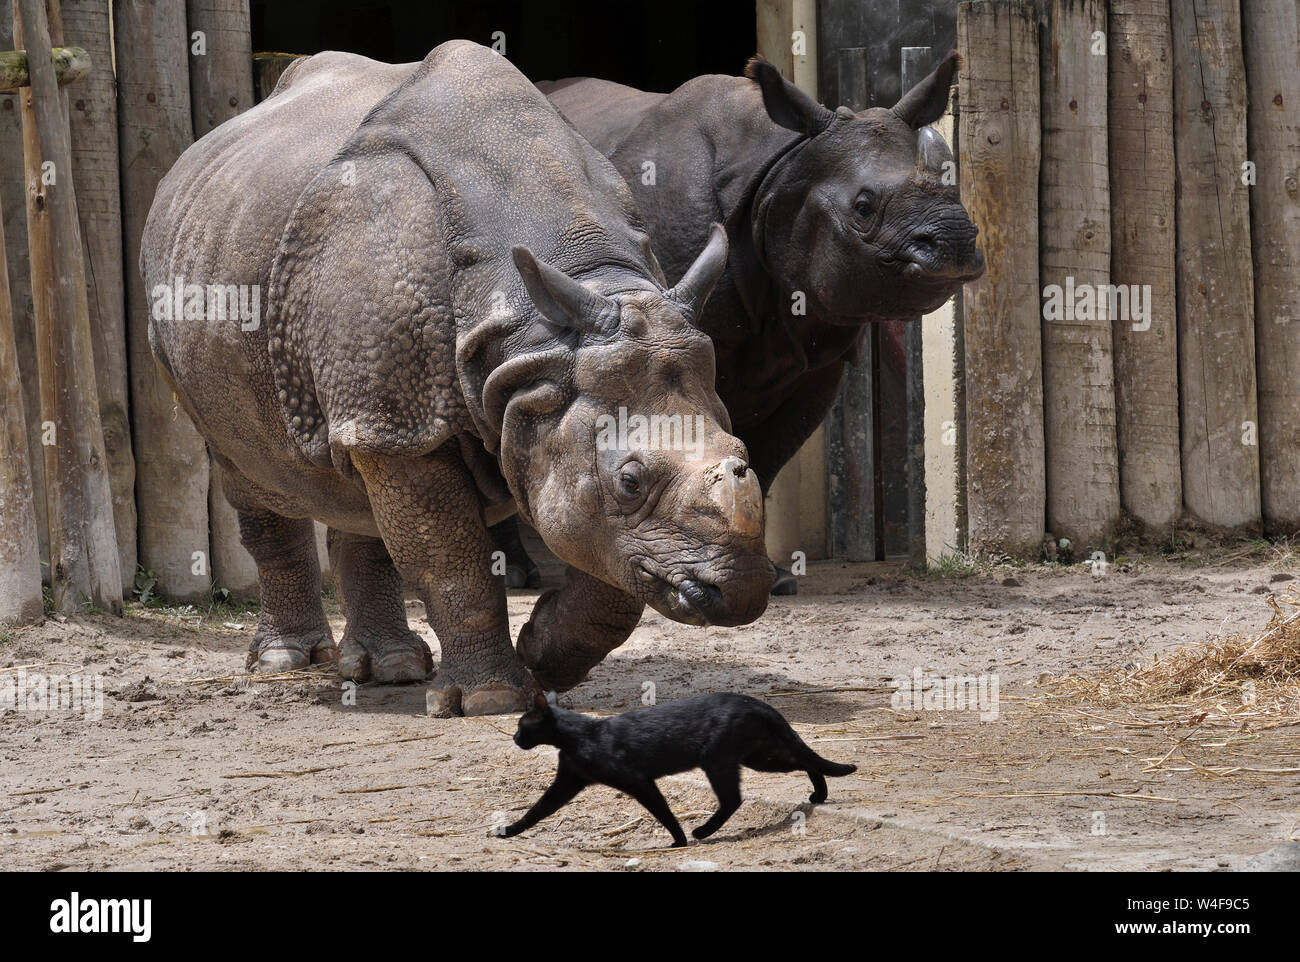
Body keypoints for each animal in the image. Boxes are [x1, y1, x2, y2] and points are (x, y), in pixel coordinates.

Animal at [496, 696, 852, 847]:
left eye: (521, 726)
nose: (514, 738)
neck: (578, 737)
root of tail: (755, 702)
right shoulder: (567, 782)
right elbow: (537, 810)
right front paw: (509, 831)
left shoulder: (638, 781)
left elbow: (663, 811)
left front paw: (679, 840)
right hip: (759, 756)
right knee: (802, 761)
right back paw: (819, 794)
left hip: (720, 759)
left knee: (733, 799)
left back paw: (702, 832)